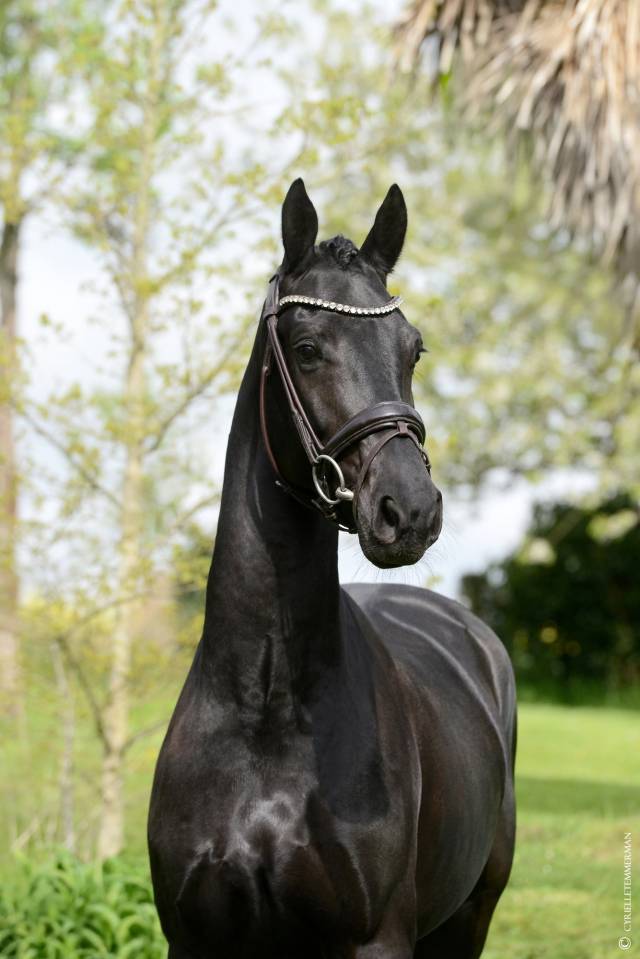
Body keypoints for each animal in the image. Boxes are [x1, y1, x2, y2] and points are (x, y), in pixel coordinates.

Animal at [148, 179, 516, 959]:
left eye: (413, 350)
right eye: (308, 347)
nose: (409, 510)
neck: (264, 709)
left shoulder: (376, 938)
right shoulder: (192, 938)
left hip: (472, 914)